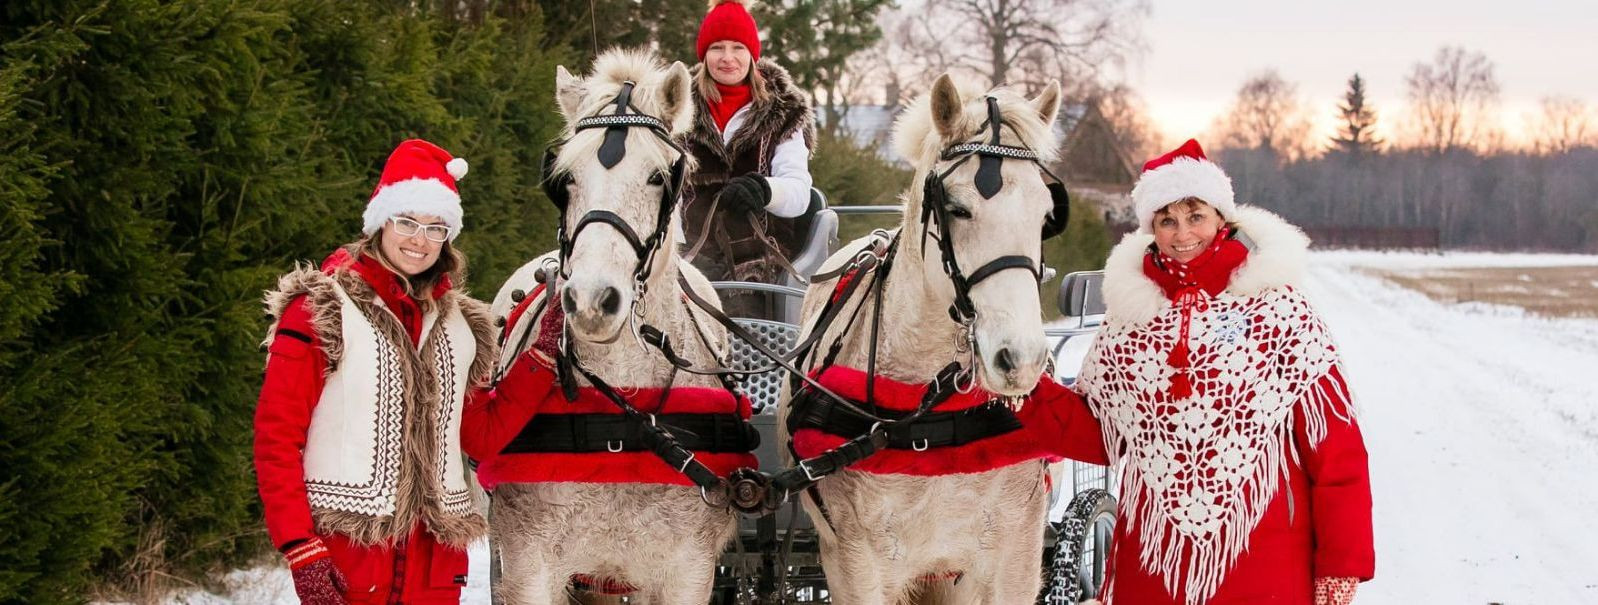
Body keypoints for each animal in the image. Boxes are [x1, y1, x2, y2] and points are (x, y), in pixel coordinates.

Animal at [783, 73, 1067, 603]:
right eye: (956, 208)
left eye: (1046, 215)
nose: (1019, 358)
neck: (929, 412)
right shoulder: (858, 562)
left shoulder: (1015, 556)